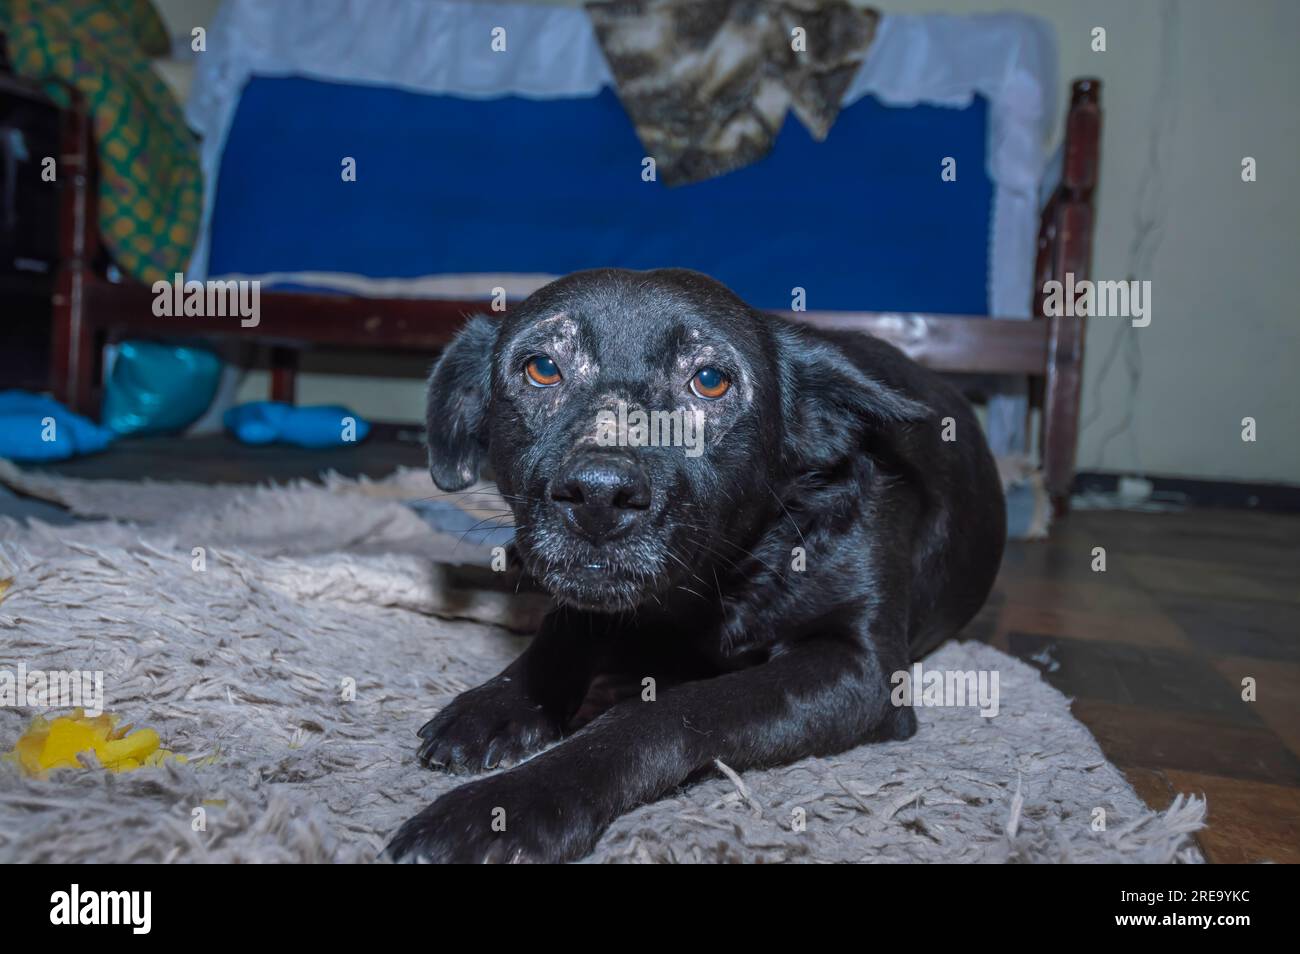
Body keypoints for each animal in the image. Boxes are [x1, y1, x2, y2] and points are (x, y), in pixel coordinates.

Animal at [384, 267, 1003, 868]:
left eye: (709, 380)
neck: (725, 579)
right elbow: (562, 631)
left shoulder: (863, 669)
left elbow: (670, 710)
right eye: (541, 369)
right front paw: (497, 705)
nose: (598, 496)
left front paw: (513, 804)